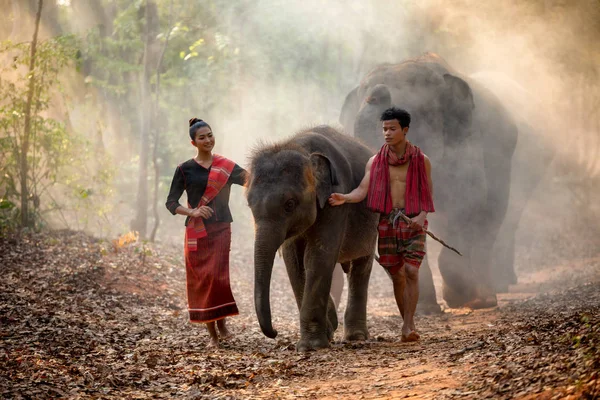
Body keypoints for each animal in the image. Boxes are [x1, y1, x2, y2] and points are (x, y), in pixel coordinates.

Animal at [246, 125, 378, 350]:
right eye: (249, 204)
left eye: (289, 204)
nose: (275, 332)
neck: (301, 148)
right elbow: (294, 262)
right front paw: (328, 329)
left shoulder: (337, 198)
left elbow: (317, 257)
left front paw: (311, 347)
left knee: (361, 266)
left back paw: (357, 337)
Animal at [342, 53, 520, 310]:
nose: (378, 93)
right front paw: (425, 309)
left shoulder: (465, 140)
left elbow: (467, 201)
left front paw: (459, 298)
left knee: (491, 217)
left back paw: (483, 299)